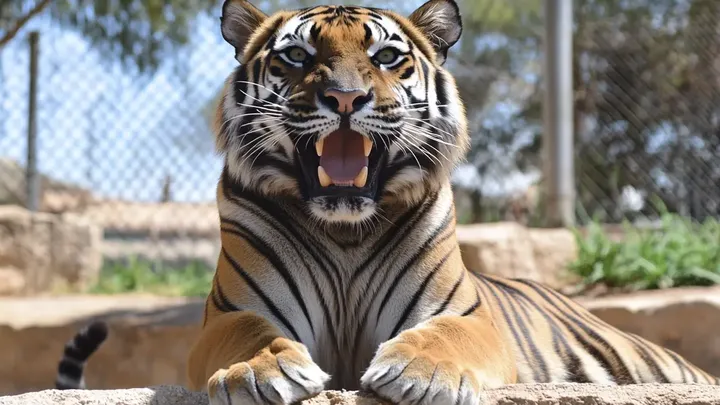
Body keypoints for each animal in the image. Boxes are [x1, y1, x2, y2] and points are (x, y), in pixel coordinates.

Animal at [54, 0, 719, 403]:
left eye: (387, 57)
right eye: (297, 56)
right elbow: (249, 333)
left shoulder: (466, 316)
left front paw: (418, 371)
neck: (346, 229)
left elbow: (446, 334)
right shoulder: (227, 313)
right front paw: (262, 368)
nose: (346, 98)